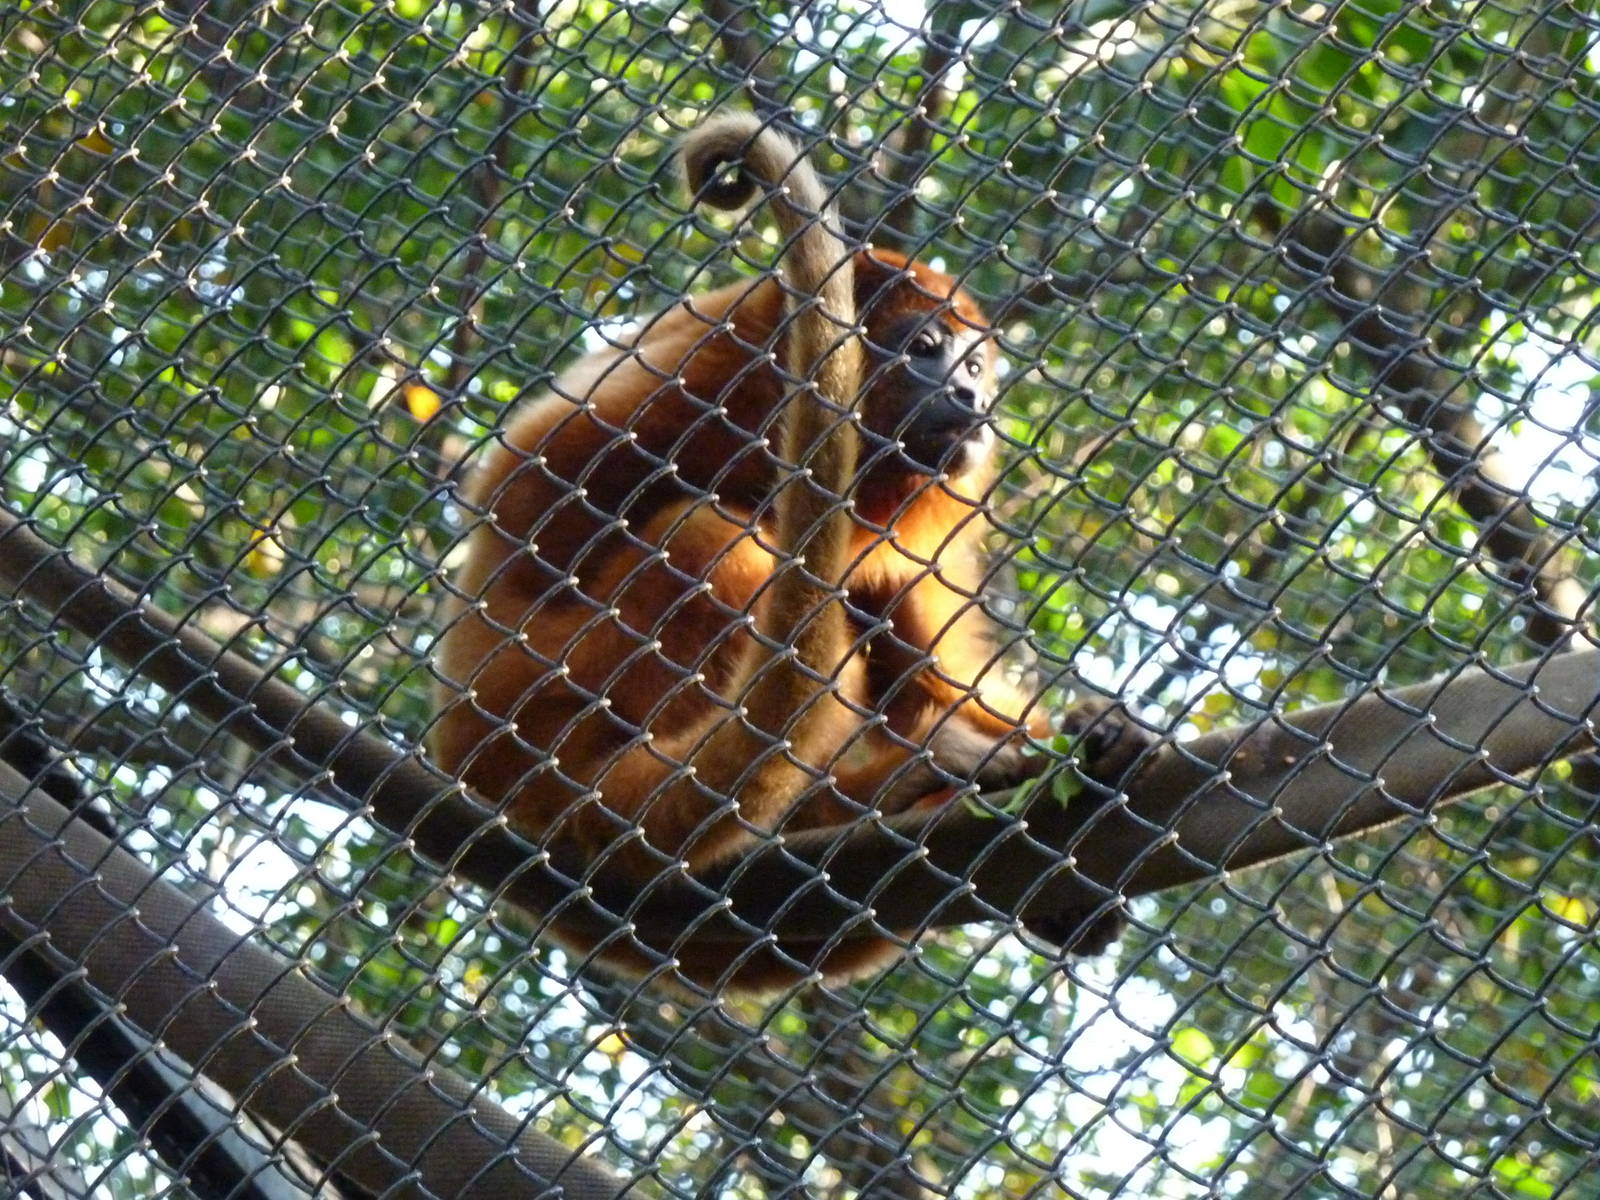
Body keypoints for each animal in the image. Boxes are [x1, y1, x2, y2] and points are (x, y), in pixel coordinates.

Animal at [432, 113, 1143, 992]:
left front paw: (1093, 732)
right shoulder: (713, 368)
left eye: (976, 363)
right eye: (926, 349)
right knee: (712, 543)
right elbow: (537, 488)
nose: (972, 397)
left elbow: (921, 660)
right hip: (537, 702)